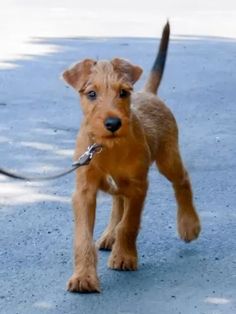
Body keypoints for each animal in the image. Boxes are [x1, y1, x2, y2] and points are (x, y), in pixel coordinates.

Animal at [61, 22, 200, 294]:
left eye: (123, 93)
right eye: (91, 94)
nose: (113, 123)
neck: (106, 147)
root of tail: (148, 93)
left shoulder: (138, 186)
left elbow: (130, 224)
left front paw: (124, 256)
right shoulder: (84, 191)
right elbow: (83, 237)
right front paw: (84, 277)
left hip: (168, 159)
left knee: (182, 180)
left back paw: (189, 224)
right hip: (116, 183)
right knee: (118, 202)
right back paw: (108, 235)